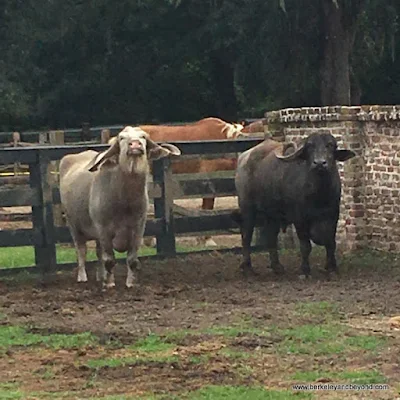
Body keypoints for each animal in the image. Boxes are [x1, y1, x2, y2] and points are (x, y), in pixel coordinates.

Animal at [59, 126, 181, 286]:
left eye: (143, 136)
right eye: (122, 138)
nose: (135, 144)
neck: (125, 201)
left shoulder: (138, 229)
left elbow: (132, 259)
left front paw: (130, 283)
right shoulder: (104, 229)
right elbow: (109, 260)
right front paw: (110, 284)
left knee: (98, 252)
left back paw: (101, 276)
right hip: (74, 225)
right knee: (81, 250)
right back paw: (82, 276)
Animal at [233, 133, 354, 276]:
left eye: (330, 145)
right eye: (309, 147)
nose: (319, 163)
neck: (319, 193)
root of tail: (244, 157)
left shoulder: (333, 215)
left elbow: (331, 242)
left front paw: (332, 267)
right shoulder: (299, 218)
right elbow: (305, 245)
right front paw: (305, 270)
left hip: (272, 214)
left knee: (271, 236)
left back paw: (277, 266)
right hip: (247, 207)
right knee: (246, 235)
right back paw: (247, 267)